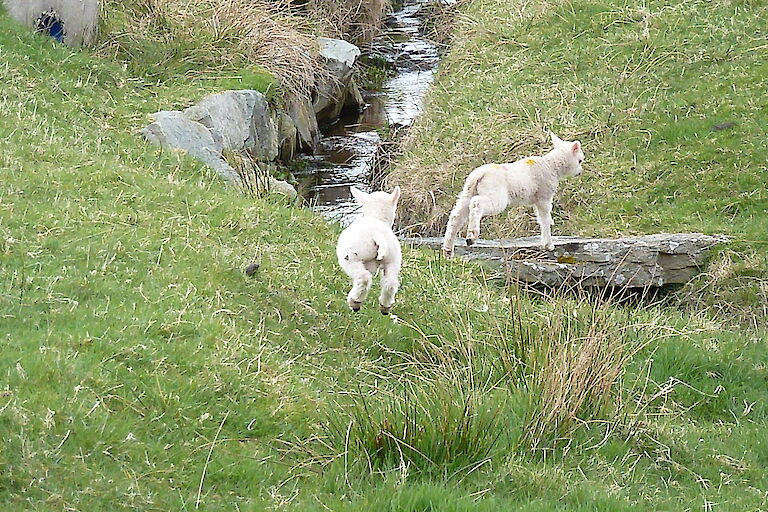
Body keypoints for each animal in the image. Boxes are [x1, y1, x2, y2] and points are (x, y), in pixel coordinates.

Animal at [340, 186, 404, 314]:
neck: (376, 216)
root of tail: (377, 234)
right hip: (393, 258)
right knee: (390, 283)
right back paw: (385, 307)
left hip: (352, 257)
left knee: (363, 278)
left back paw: (355, 302)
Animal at [440, 132, 584, 256]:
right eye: (580, 161)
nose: (580, 172)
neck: (552, 166)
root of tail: (479, 175)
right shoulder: (544, 196)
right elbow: (544, 219)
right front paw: (548, 244)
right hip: (495, 194)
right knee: (476, 203)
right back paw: (471, 236)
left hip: (467, 192)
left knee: (456, 216)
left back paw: (448, 250)